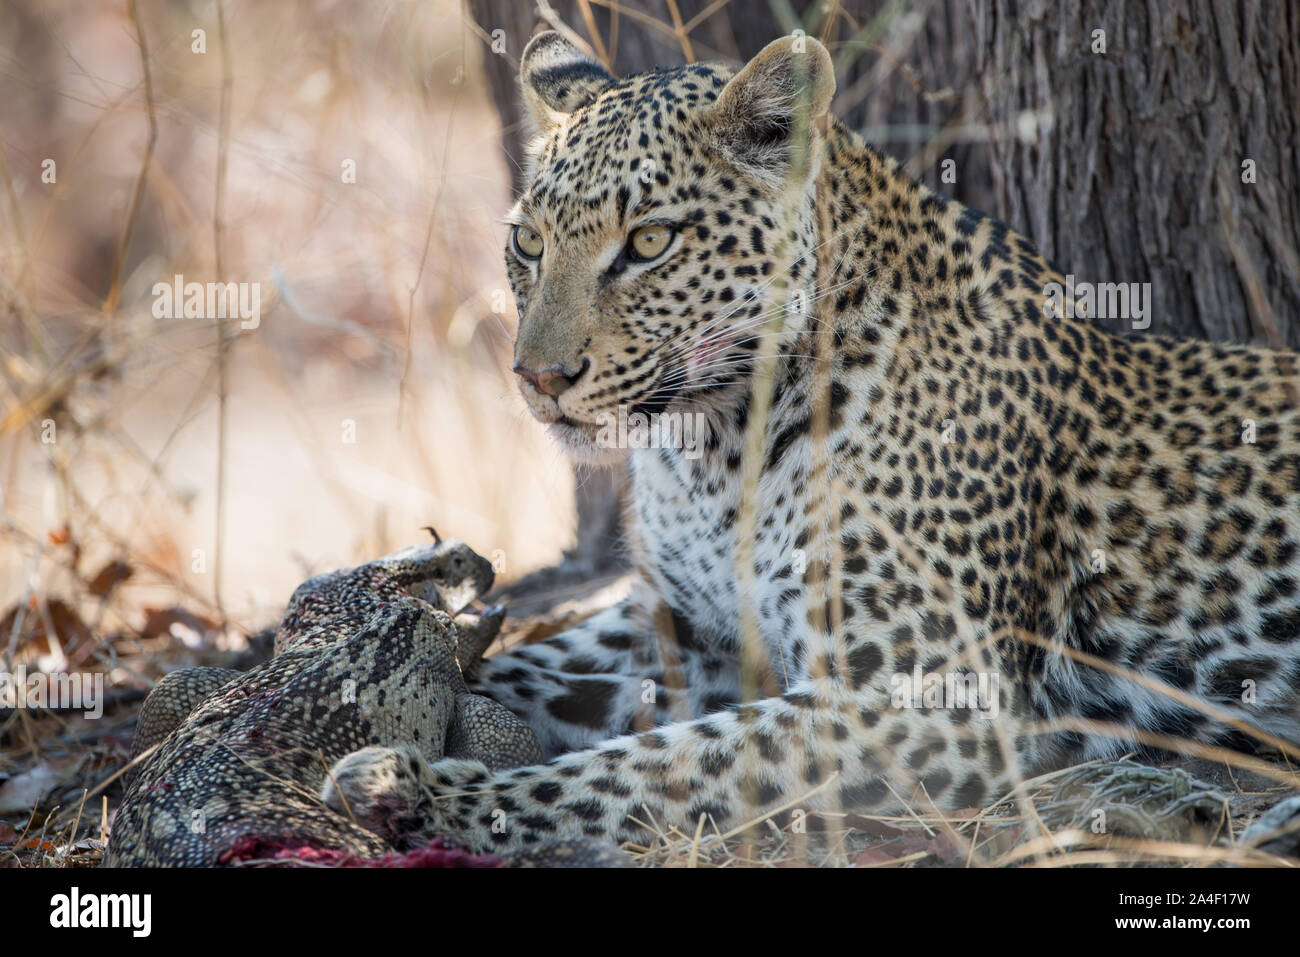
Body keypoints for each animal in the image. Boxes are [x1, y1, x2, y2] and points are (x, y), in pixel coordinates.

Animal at [323, 31, 1300, 856]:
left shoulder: (923, 697)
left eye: (649, 241)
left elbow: (652, 767)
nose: (538, 376)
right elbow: (531, 665)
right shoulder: (680, 625)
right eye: (528, 241)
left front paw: (425, 792)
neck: (716, 447)